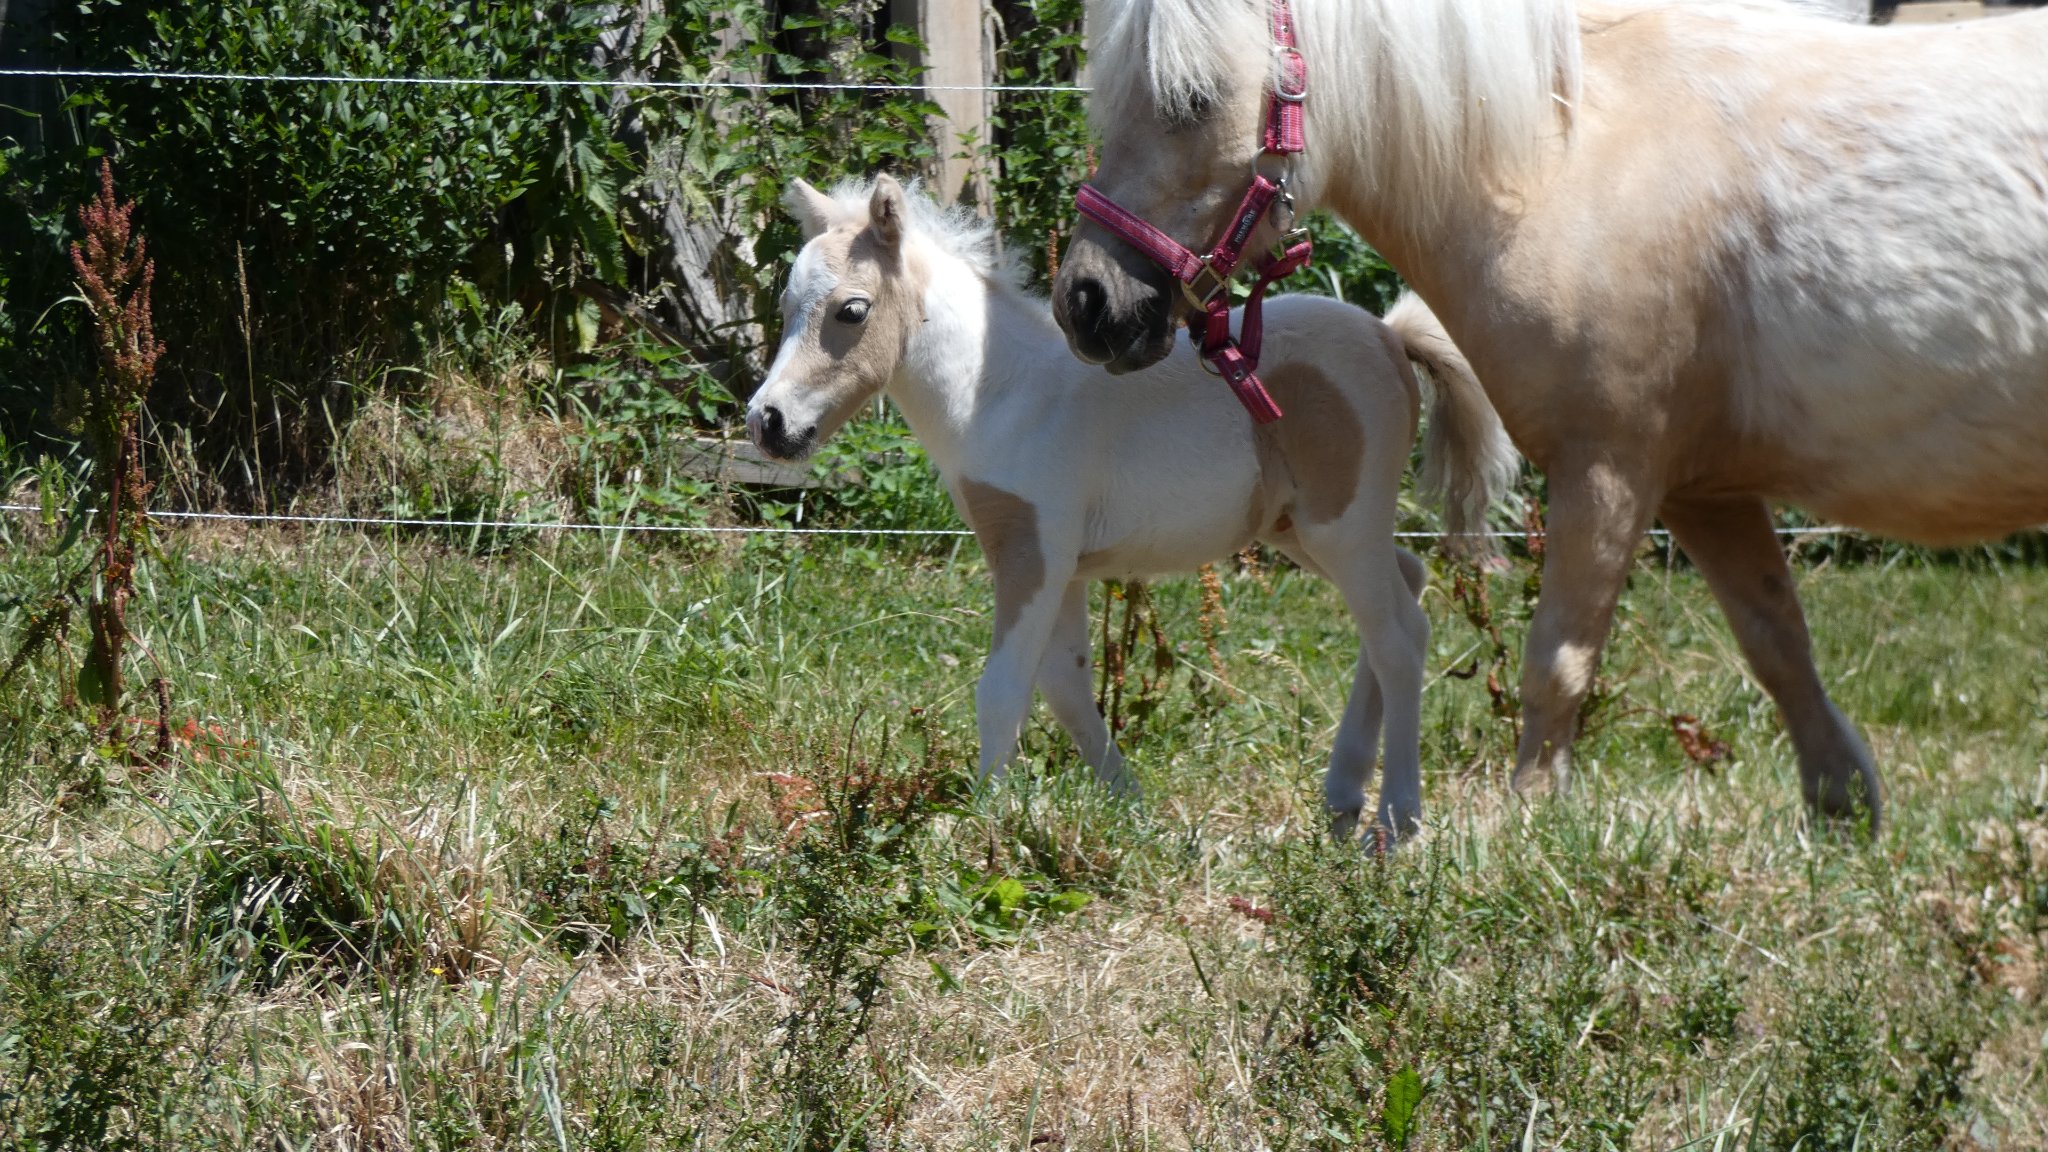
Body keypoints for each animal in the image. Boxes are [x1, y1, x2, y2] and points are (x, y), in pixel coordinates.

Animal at [745, 172, 1515, 832]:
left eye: (852, 310)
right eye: (785, 307)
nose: (768, 423)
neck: (1000, 392)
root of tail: (1390, 338)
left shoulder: (1033, 551)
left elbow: (1003, 687)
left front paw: (985, 824)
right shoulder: (1063, 565)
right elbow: (1064, 682)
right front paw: (1130, 809)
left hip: (1343, 525)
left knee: (1399, 637)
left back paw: (1396, 818)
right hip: (1300, 529)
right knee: (1404, 590)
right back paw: (1342, 799)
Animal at [1056, 0, 2048, 824]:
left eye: (1192, 97)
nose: (1088, 303)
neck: (1570, 161)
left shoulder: (1606, 469)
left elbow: (1557, 663)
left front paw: (1529, 823)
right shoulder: (1705, 491)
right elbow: (1778, 644)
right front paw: (1841, 810)